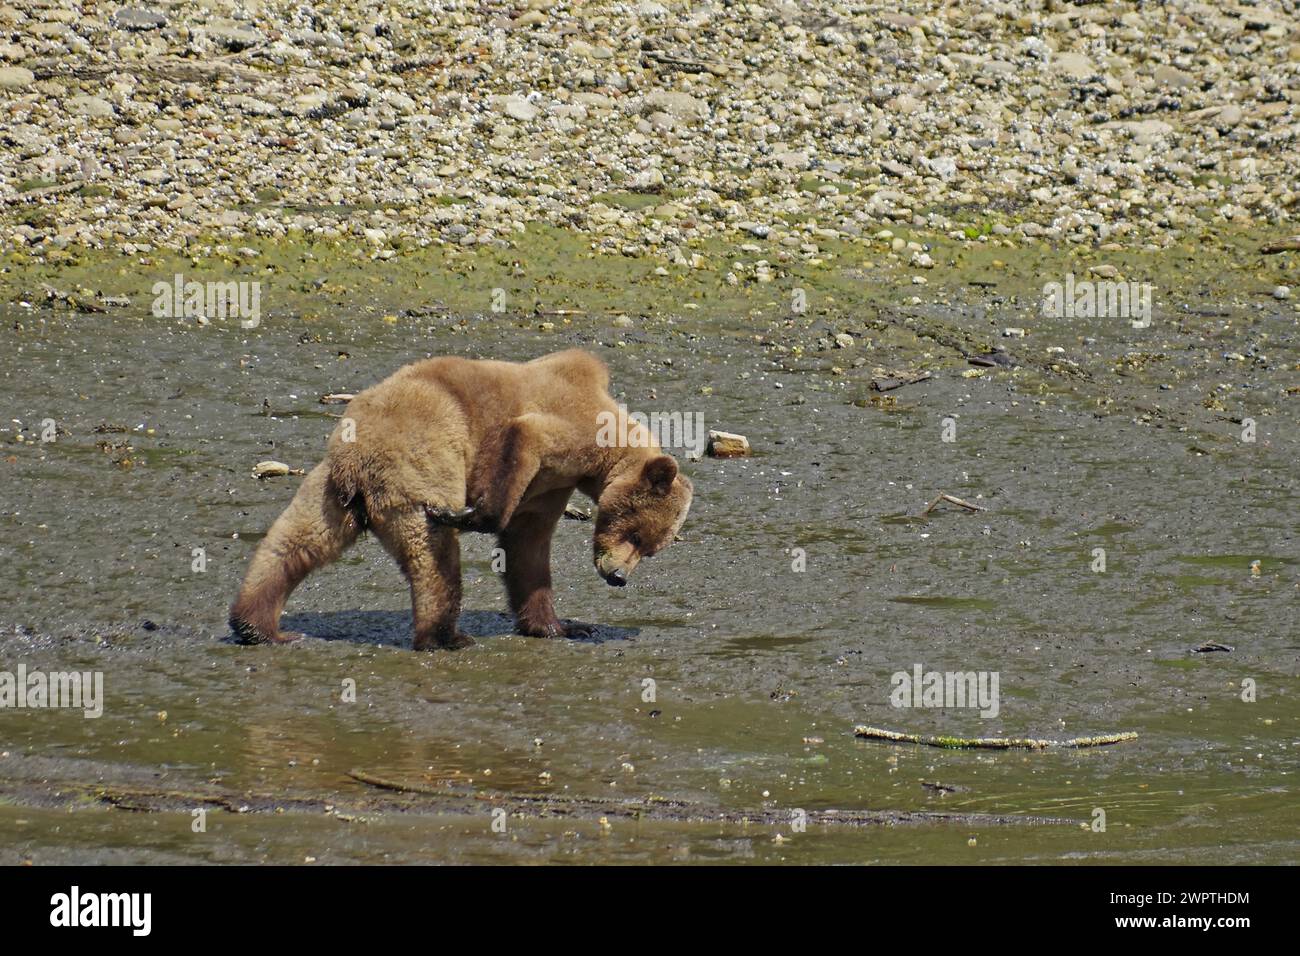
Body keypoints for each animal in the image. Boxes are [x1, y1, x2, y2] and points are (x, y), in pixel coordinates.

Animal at [229, 349, 693, 650]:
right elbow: (525, 440)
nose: (619, 577)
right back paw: (446, 636)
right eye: (636, 535)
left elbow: (528, 546)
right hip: (420, 460)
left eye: (650, 550)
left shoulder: (551, 484)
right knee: (433, 558)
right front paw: (473, 514)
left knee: (293, 544)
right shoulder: (561, 435)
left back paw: (258, 626)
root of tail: (355, 461)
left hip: (327, 489)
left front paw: (561, 627)